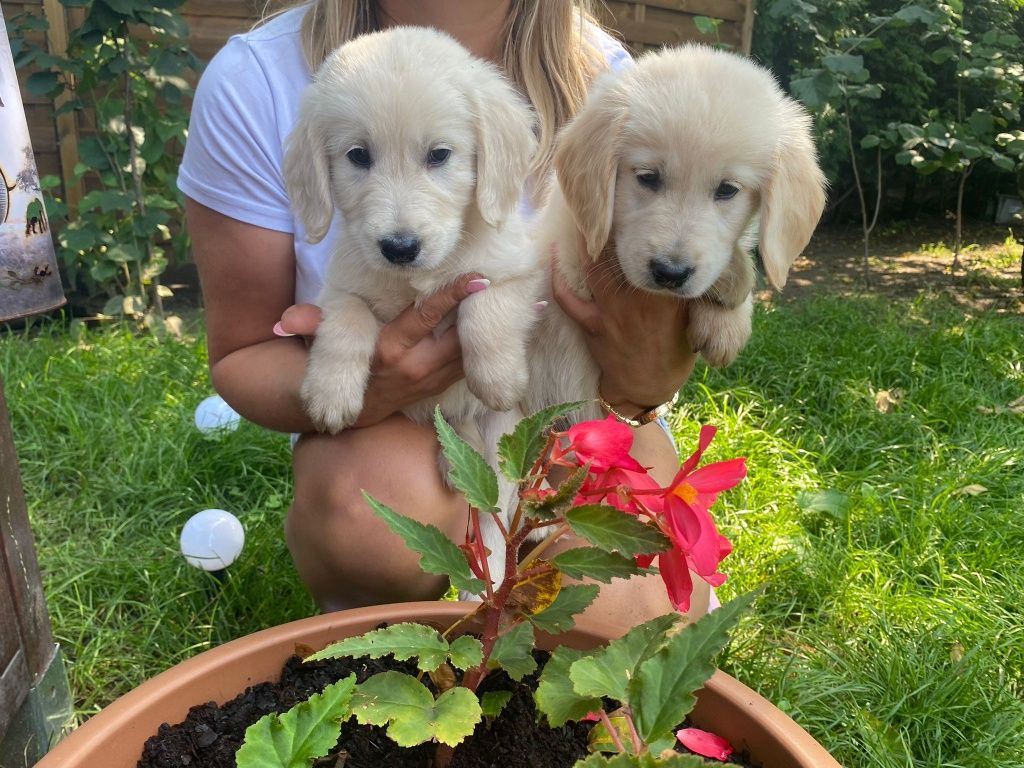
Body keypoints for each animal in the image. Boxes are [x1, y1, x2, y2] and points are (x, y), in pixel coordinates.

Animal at [286, 28, 544, 438]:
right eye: (358, 155)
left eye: (438, 154)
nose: (400, 248)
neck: (416, 279)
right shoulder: (340, 285)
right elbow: (347, 319)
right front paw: (330, 393)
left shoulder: (520, 272)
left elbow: (484, 305)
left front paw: (499, 379)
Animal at [524, 46, 827, 421]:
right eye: (648, 177)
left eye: (728, 190)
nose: (670, 273)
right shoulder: (569, 253)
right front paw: (736, 279)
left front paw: (727, 319)